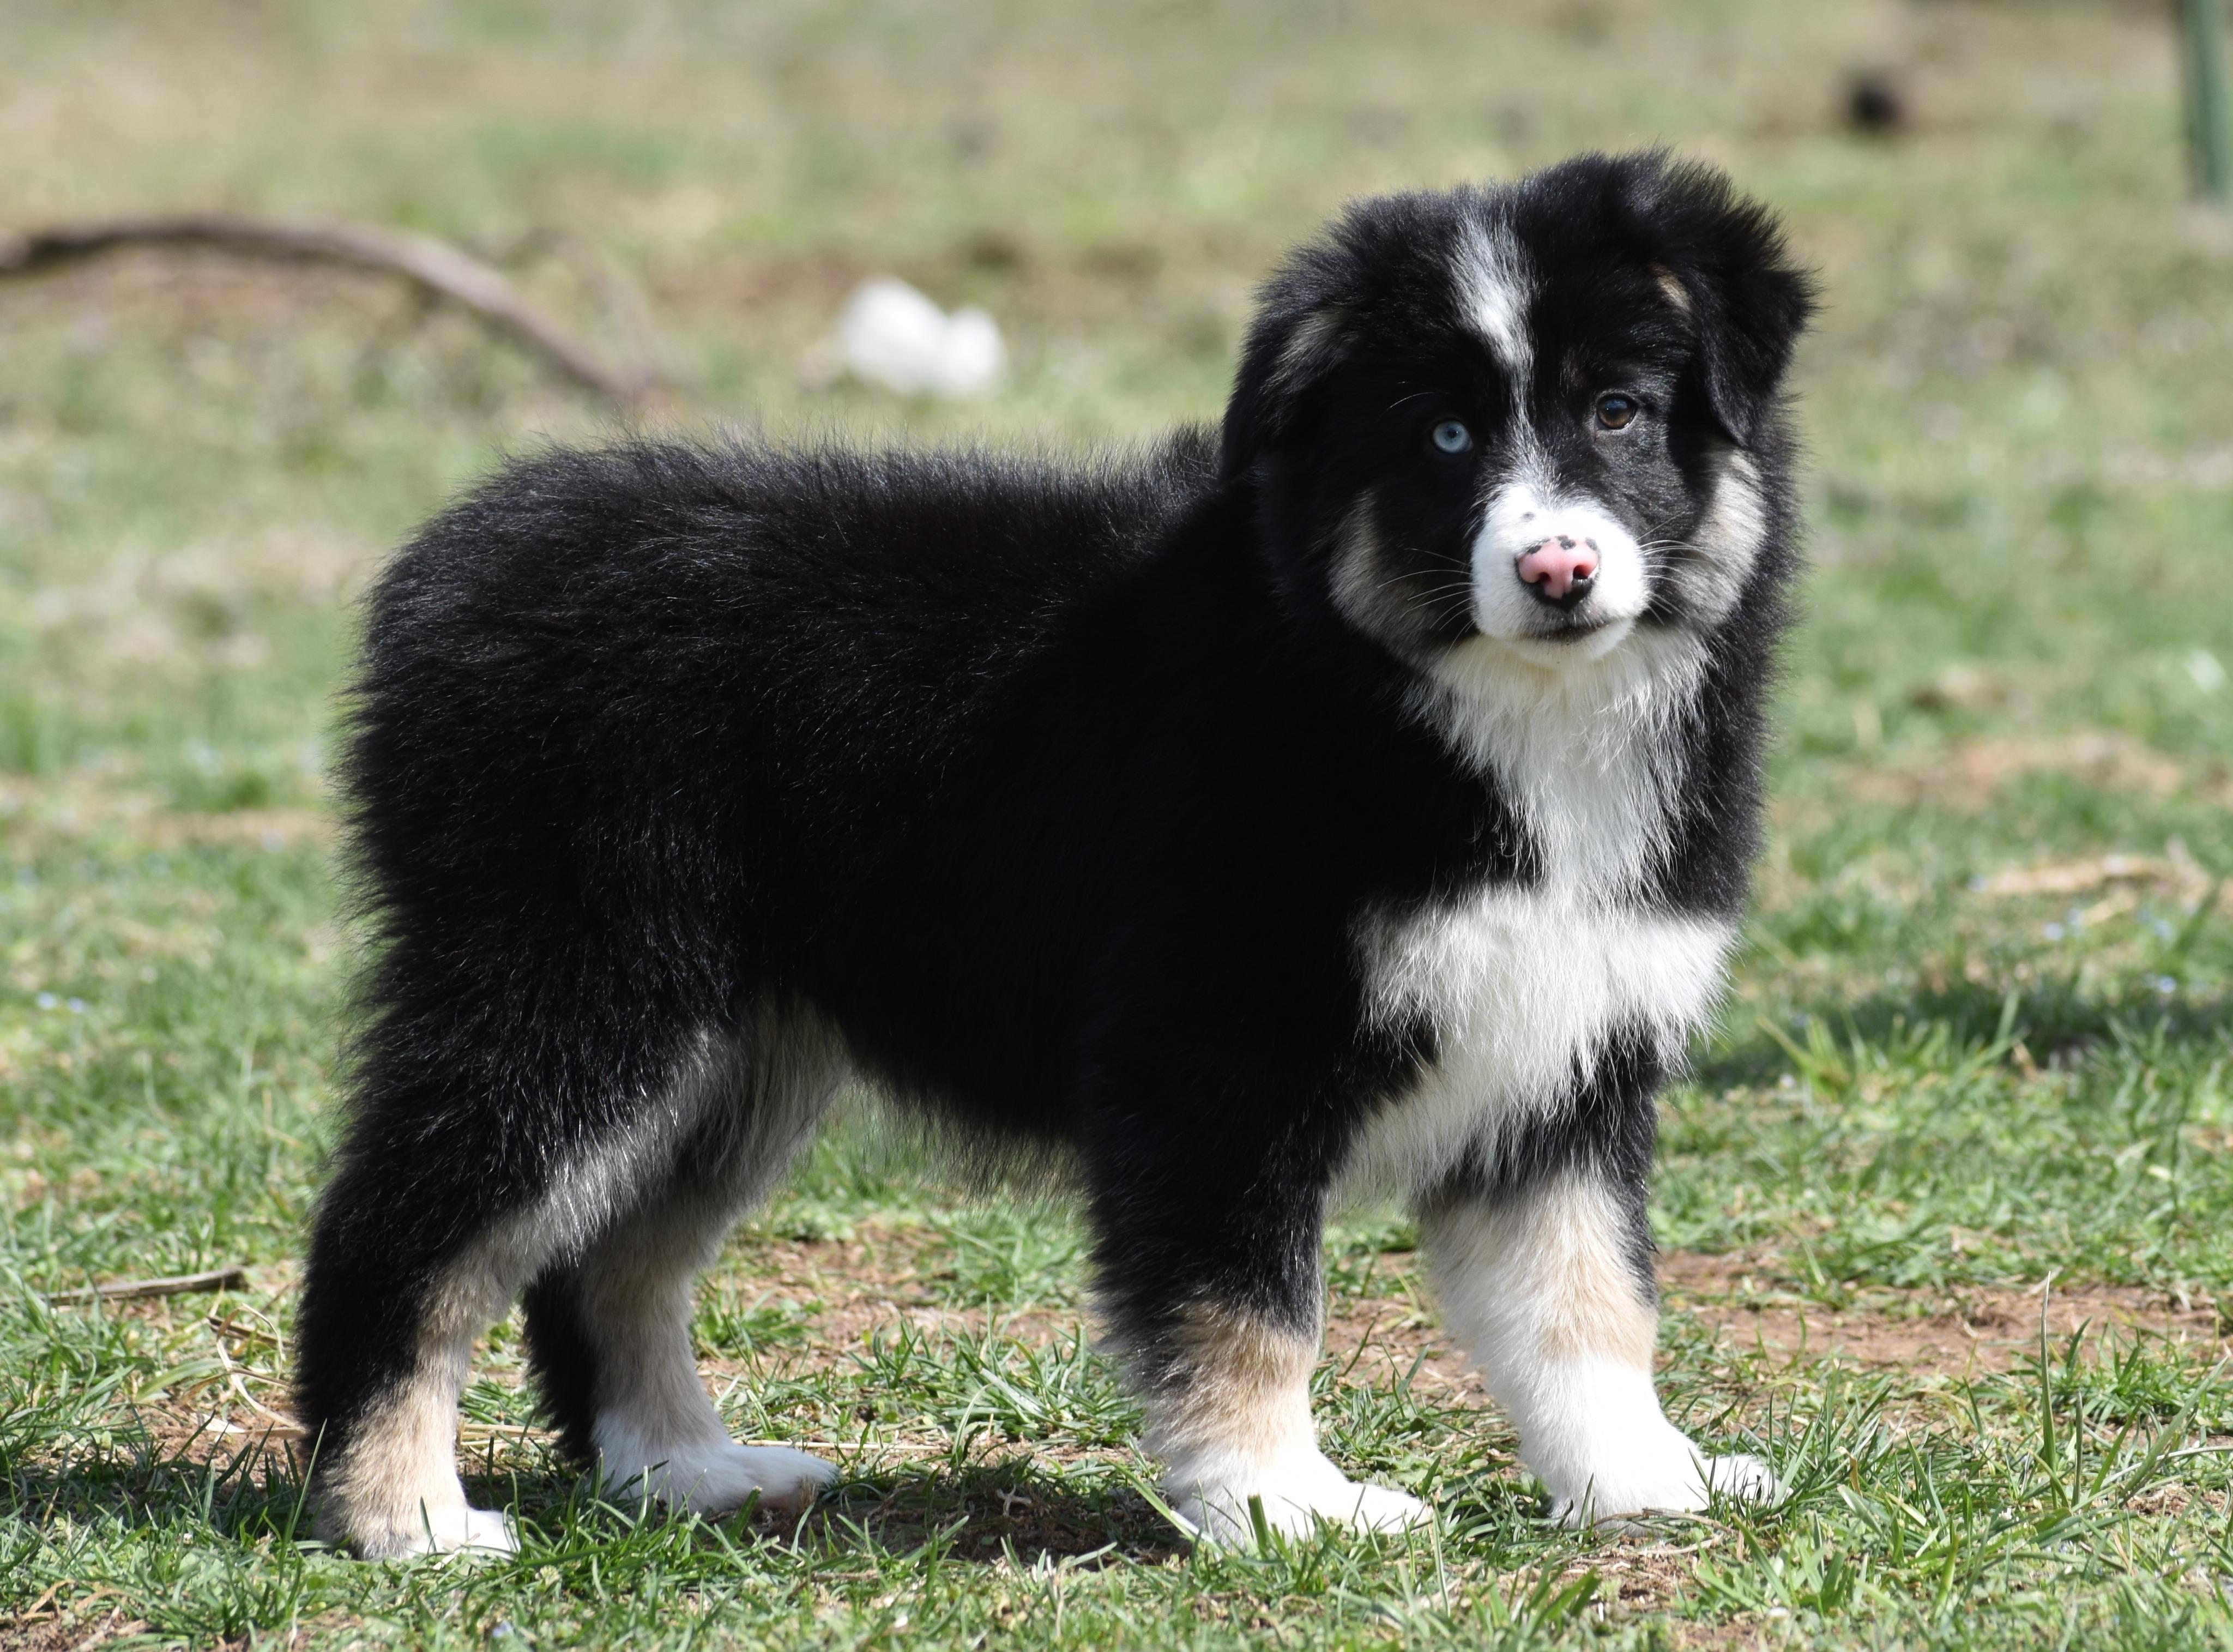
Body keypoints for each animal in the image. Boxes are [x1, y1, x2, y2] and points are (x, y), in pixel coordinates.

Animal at [298, 150, 1813, 1557]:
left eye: (1617, 411)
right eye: (1441, 436)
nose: (1556, 571)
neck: (1424, 686)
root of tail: (453, 564)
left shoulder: (1566, 1049)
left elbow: (1588, 1302)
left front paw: (1646, 1480)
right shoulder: (1212, 1044)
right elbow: (1249, 1303)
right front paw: (1283, 1504)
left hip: (735, 1046)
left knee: (613, 1263)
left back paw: (685, 1467)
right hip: (578, 984)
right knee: (403, 1236)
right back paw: (403, 1514)